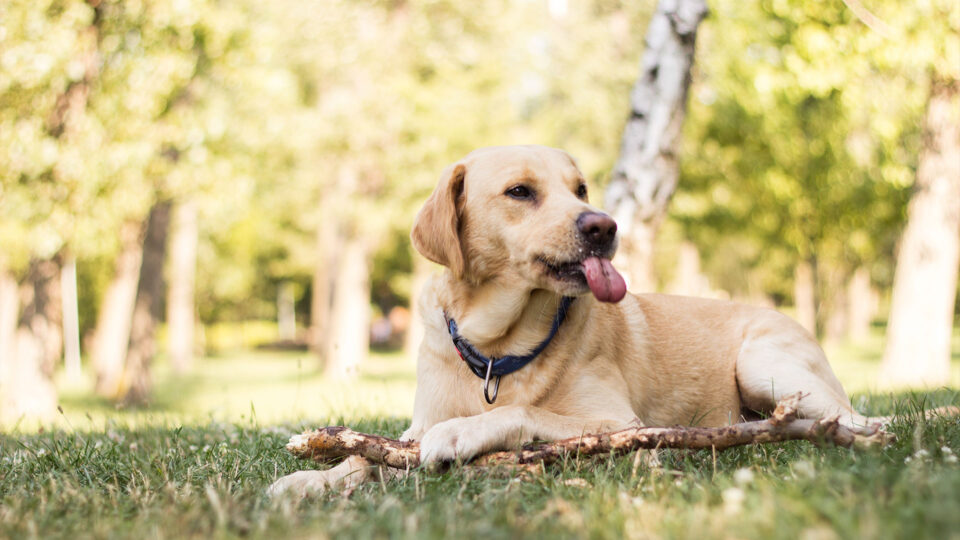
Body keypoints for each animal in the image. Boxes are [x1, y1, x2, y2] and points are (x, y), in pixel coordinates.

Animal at [268, 144, 884, 498]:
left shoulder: (622, 424)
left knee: (858, 422)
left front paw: (463, 432)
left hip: (763, 363)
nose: (605, 226)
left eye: (580, 188)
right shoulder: (413, 426)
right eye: (520, 191)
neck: (498, 347)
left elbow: (525, 411)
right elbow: (362, 455)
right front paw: (311, 479)